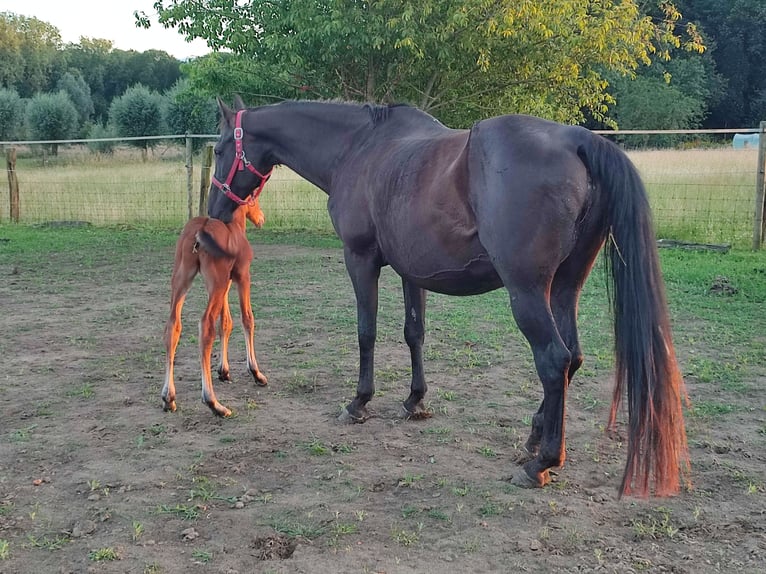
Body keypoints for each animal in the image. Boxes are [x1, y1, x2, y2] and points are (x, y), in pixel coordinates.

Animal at [163, 201, 270, 418]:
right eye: (254, 201)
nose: (261, 218)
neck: (234, 226)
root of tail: (200, 229)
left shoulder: (225, 284)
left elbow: (226, 323)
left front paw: (224, 371)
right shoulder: (242, 276)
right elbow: (247, 318)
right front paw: (256, 373)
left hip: (182, 279)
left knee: (173, 326)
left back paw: (169, 398)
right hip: (216, 283)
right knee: (206, 325)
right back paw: (213, 402)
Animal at [208, 97, 688, 498]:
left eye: (218, 149)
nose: (214, 211)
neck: (358, 149)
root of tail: (577, 139)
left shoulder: (360, 260)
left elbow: (366, 331)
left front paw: (359, 403)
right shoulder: (412, 272)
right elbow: (413, 332)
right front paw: (415, 401)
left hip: (528, 292)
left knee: (554, 360)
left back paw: (542, 463)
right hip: (565, 289)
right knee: (573, 357)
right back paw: (534, 437)